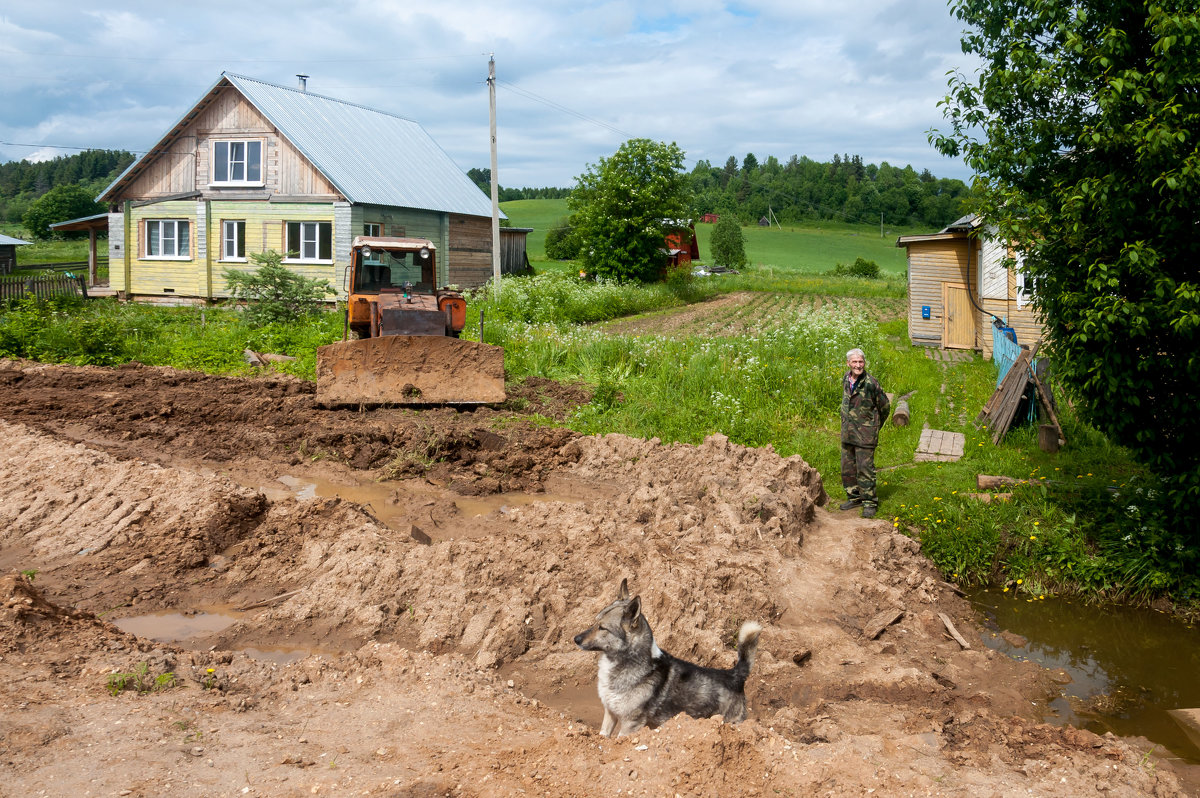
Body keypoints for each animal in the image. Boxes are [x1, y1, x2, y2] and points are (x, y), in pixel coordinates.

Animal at [571, 578, 758, 734]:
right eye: (595, 622)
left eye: (602, 628)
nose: (576, 639)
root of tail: (735, 674)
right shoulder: (610, 714)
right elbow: (603, 737)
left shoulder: (630, 724)